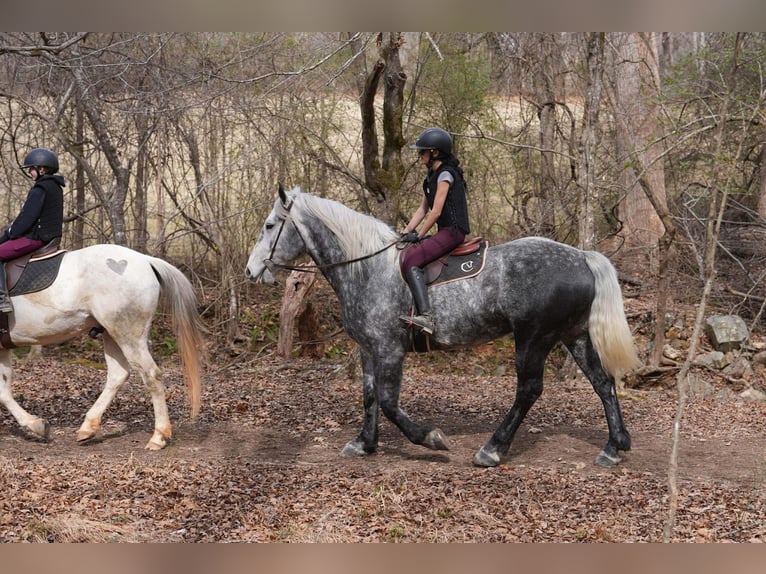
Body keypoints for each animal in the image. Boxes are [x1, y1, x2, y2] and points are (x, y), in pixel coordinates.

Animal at [0, 244, 203, 450]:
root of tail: (146, 260)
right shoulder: (3, 349)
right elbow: (4, 392)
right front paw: (37, 425)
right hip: (111, 334)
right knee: (118, 374)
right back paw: (88, 427)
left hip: (127, 335)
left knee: (151, 375)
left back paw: (158, 437)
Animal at [246, 185, 640, 467]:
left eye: (269, 225)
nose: (251, 271)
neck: (366, 268)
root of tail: (582, 257)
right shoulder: (368, 348)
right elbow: (369, 396)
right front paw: (364, 443)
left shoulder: (389, 349)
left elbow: (388, 401)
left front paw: (430, 438)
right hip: (573, 336)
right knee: (603, 383)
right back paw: (614, 446)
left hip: (534, 338)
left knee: (529, 390)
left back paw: (492, 449)